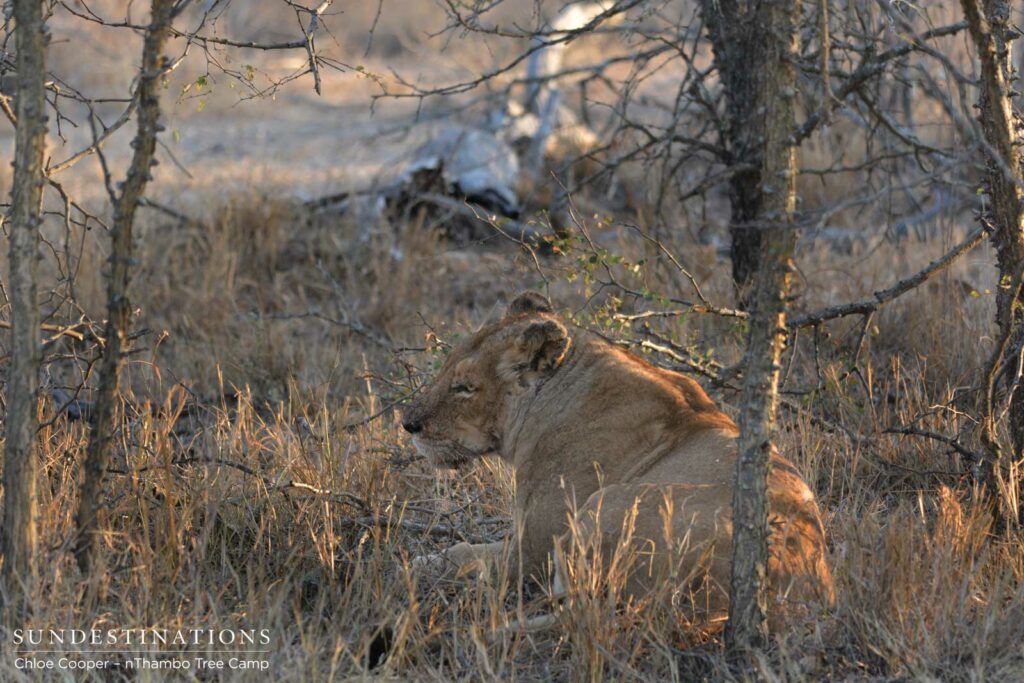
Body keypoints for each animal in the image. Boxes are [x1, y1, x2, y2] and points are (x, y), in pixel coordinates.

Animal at [402, 292, 834, 628]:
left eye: (464, 388)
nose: (408, 424)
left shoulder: (533, 549)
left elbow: (461, 555)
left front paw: (414, 563)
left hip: (602, 508)